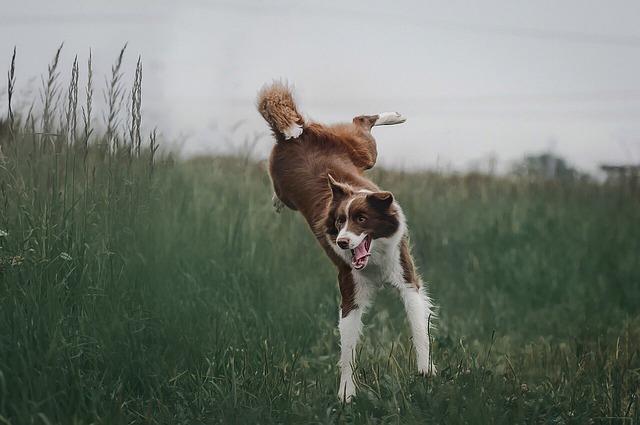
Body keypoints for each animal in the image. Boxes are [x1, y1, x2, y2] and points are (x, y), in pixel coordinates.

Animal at [258, 82, 438, 400]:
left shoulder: (406, 278)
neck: (375, 259)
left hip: (363, 152)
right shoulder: (350, 290)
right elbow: (348, 347)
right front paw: (346, 393)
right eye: (339, 222)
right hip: (297, 178)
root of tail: (294, 135)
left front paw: (425, 369)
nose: (342, 242)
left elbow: (419, 327)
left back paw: (395, 116)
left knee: (362, 122)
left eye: (362, 219)